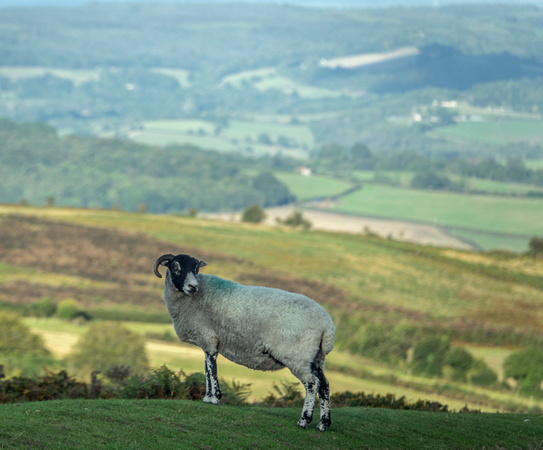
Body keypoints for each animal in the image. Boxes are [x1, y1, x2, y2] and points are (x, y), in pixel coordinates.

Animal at [153, 251, 336, 430]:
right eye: (175, 267)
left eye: (196, 268)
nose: (193, 286)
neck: (194, 298)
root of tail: (327, 325)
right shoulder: (209, 342)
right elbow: (207, 367)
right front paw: (208, 397)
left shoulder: (208, 338)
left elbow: (211, 368)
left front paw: (214, 398)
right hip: (316, 357)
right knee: (324, 384)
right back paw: (323, 424)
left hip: (298, 356)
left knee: (312, 383)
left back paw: (304, 421)